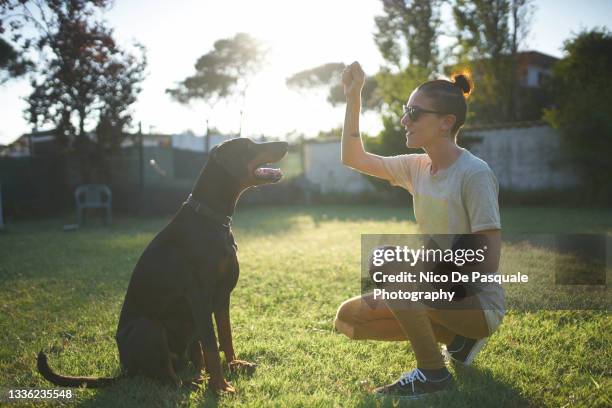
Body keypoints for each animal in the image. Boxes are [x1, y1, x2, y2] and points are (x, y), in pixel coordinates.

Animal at [37, 139, 290, 394]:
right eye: (248, 146)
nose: (285, 143)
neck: (210, 218)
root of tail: (125, 369)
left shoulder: (222, 296)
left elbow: (225, 336)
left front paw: (235, 365)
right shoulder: (199, 296)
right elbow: (211, 343)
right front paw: (220, 385)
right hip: (148, 327)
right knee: (169, 379)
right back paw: (193, 383)